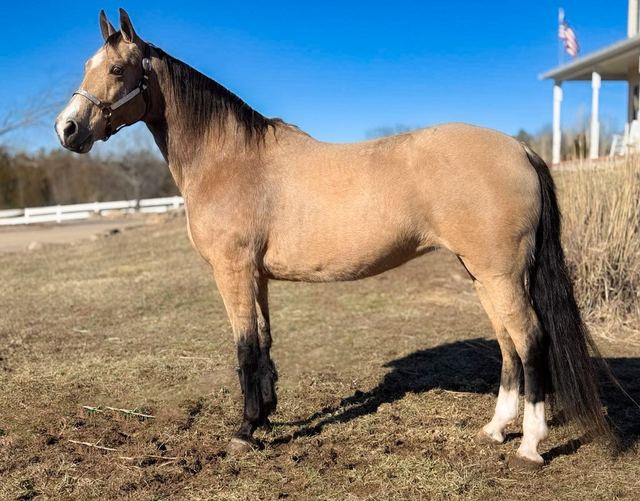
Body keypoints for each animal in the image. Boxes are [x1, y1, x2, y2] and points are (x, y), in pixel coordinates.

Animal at [55, 9, 611, 469]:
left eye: (117, 70)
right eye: (86, 64)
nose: (67, 128)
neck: (231, 159)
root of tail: (520, 150)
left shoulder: (232, 271)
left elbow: (245, 348)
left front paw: (244, 431)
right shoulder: (257, 276)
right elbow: (264, 341)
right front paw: (266, 415)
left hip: (501, 275)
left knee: (531, 340)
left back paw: (530, 445)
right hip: (483, 275)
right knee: (508, 345)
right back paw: (495, 429)